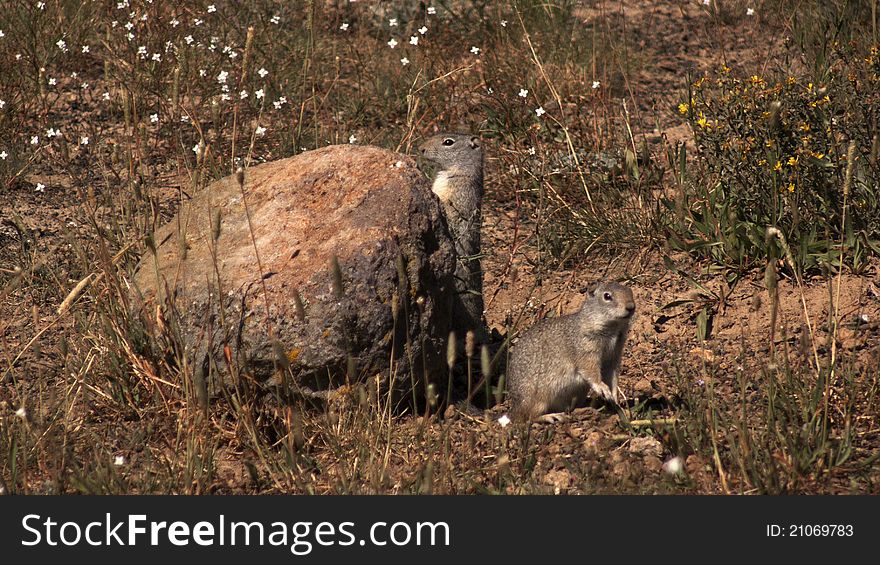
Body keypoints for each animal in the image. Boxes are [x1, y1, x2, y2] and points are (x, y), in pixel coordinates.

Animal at [506, 280, 636, 418]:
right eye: (607, 296)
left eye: (630, 291)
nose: (631, 307)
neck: (613, 329)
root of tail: (514, 406)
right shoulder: (586, 351)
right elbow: (591, 372)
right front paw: (602, 388)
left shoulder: (614, 356)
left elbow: (613, 378)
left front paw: (615, 400)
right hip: (538, 399)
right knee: (526, 418)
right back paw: (551, 417)